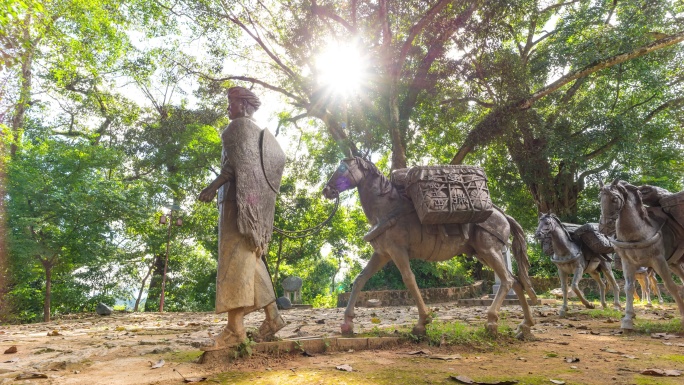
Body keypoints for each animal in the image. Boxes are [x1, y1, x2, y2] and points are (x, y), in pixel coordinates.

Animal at [324, 158, 536, 338]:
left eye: (342, 169)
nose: (327, 190)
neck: (387, 209)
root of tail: (503, 215)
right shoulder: (382, 253)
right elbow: (360, 279)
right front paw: (347, 323)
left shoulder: (397, 251)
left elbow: (409, 279)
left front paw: (422, 322)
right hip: (484, 254)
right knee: (516, 282)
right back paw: (525, 325)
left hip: (489, 251)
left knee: (507, 280)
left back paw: (492, 321)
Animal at [600, 179, 684, 328]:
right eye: (600, 198)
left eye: (614, 199)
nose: (604, 227)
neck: (639, 233)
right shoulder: (627, 262)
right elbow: (629, 287)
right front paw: (628, 319)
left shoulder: (658, 260)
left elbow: (670, 286)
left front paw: (683, 315)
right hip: (674, 263)